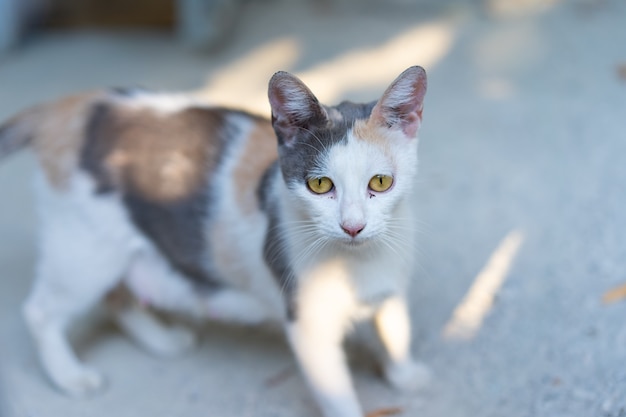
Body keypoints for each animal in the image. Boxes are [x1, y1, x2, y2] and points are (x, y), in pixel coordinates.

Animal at [0, 65, 424, 416]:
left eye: (381, 182)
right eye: (320, 185)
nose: (352, 226)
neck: (361, 263)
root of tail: (70, 106)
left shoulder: (393, 283)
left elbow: (397, 328)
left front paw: (406, 375)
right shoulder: (308, 324)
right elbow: (338, 397)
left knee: (118, 294)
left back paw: (162, 340)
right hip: (84, 250)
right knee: (41, 310)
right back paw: (70, 376)